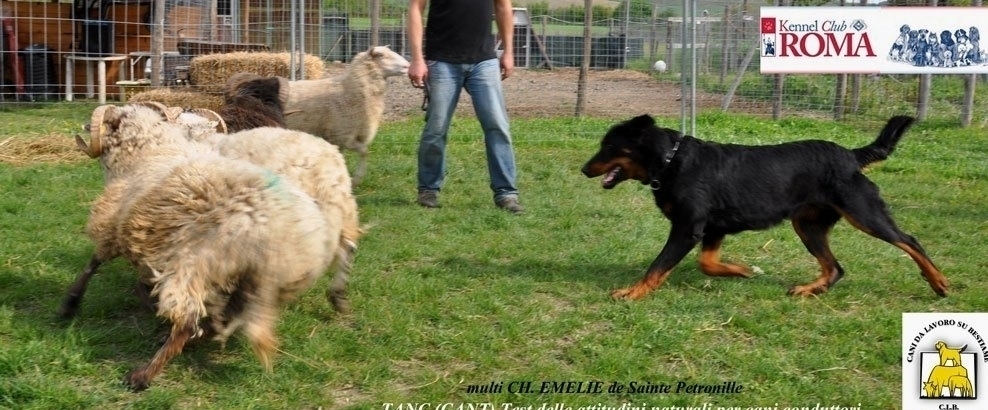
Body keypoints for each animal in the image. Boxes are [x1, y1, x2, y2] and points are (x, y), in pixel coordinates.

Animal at [62, 103, 340, 390]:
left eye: (109, 121)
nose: (86, 126)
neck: (148, 151)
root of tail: (271, 228)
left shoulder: (115, 224)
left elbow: (95, 262)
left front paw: (70, 304)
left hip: (196, 263)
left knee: (187, 320)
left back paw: (143, 374)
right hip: (249, 280)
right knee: (222, 317)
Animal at [284, 44, 412, 184]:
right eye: (381, 55)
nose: (408, 66)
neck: (349, 90)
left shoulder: (344, 138)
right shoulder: (342, 136)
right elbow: (364, 151)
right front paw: (356, 179)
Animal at [584, 113, 944, 300]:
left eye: (609, 146)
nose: (584, 169)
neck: (670, 161)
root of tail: (851, 155)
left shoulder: (688, 229)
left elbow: (657, 267)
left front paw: (632, 293)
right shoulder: (712, 229)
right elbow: (707, 263)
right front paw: (742, 271)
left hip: (864, 213)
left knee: (909, 241)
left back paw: (939, 282)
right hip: (808, 225)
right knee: (835, 268)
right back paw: (810, 289)